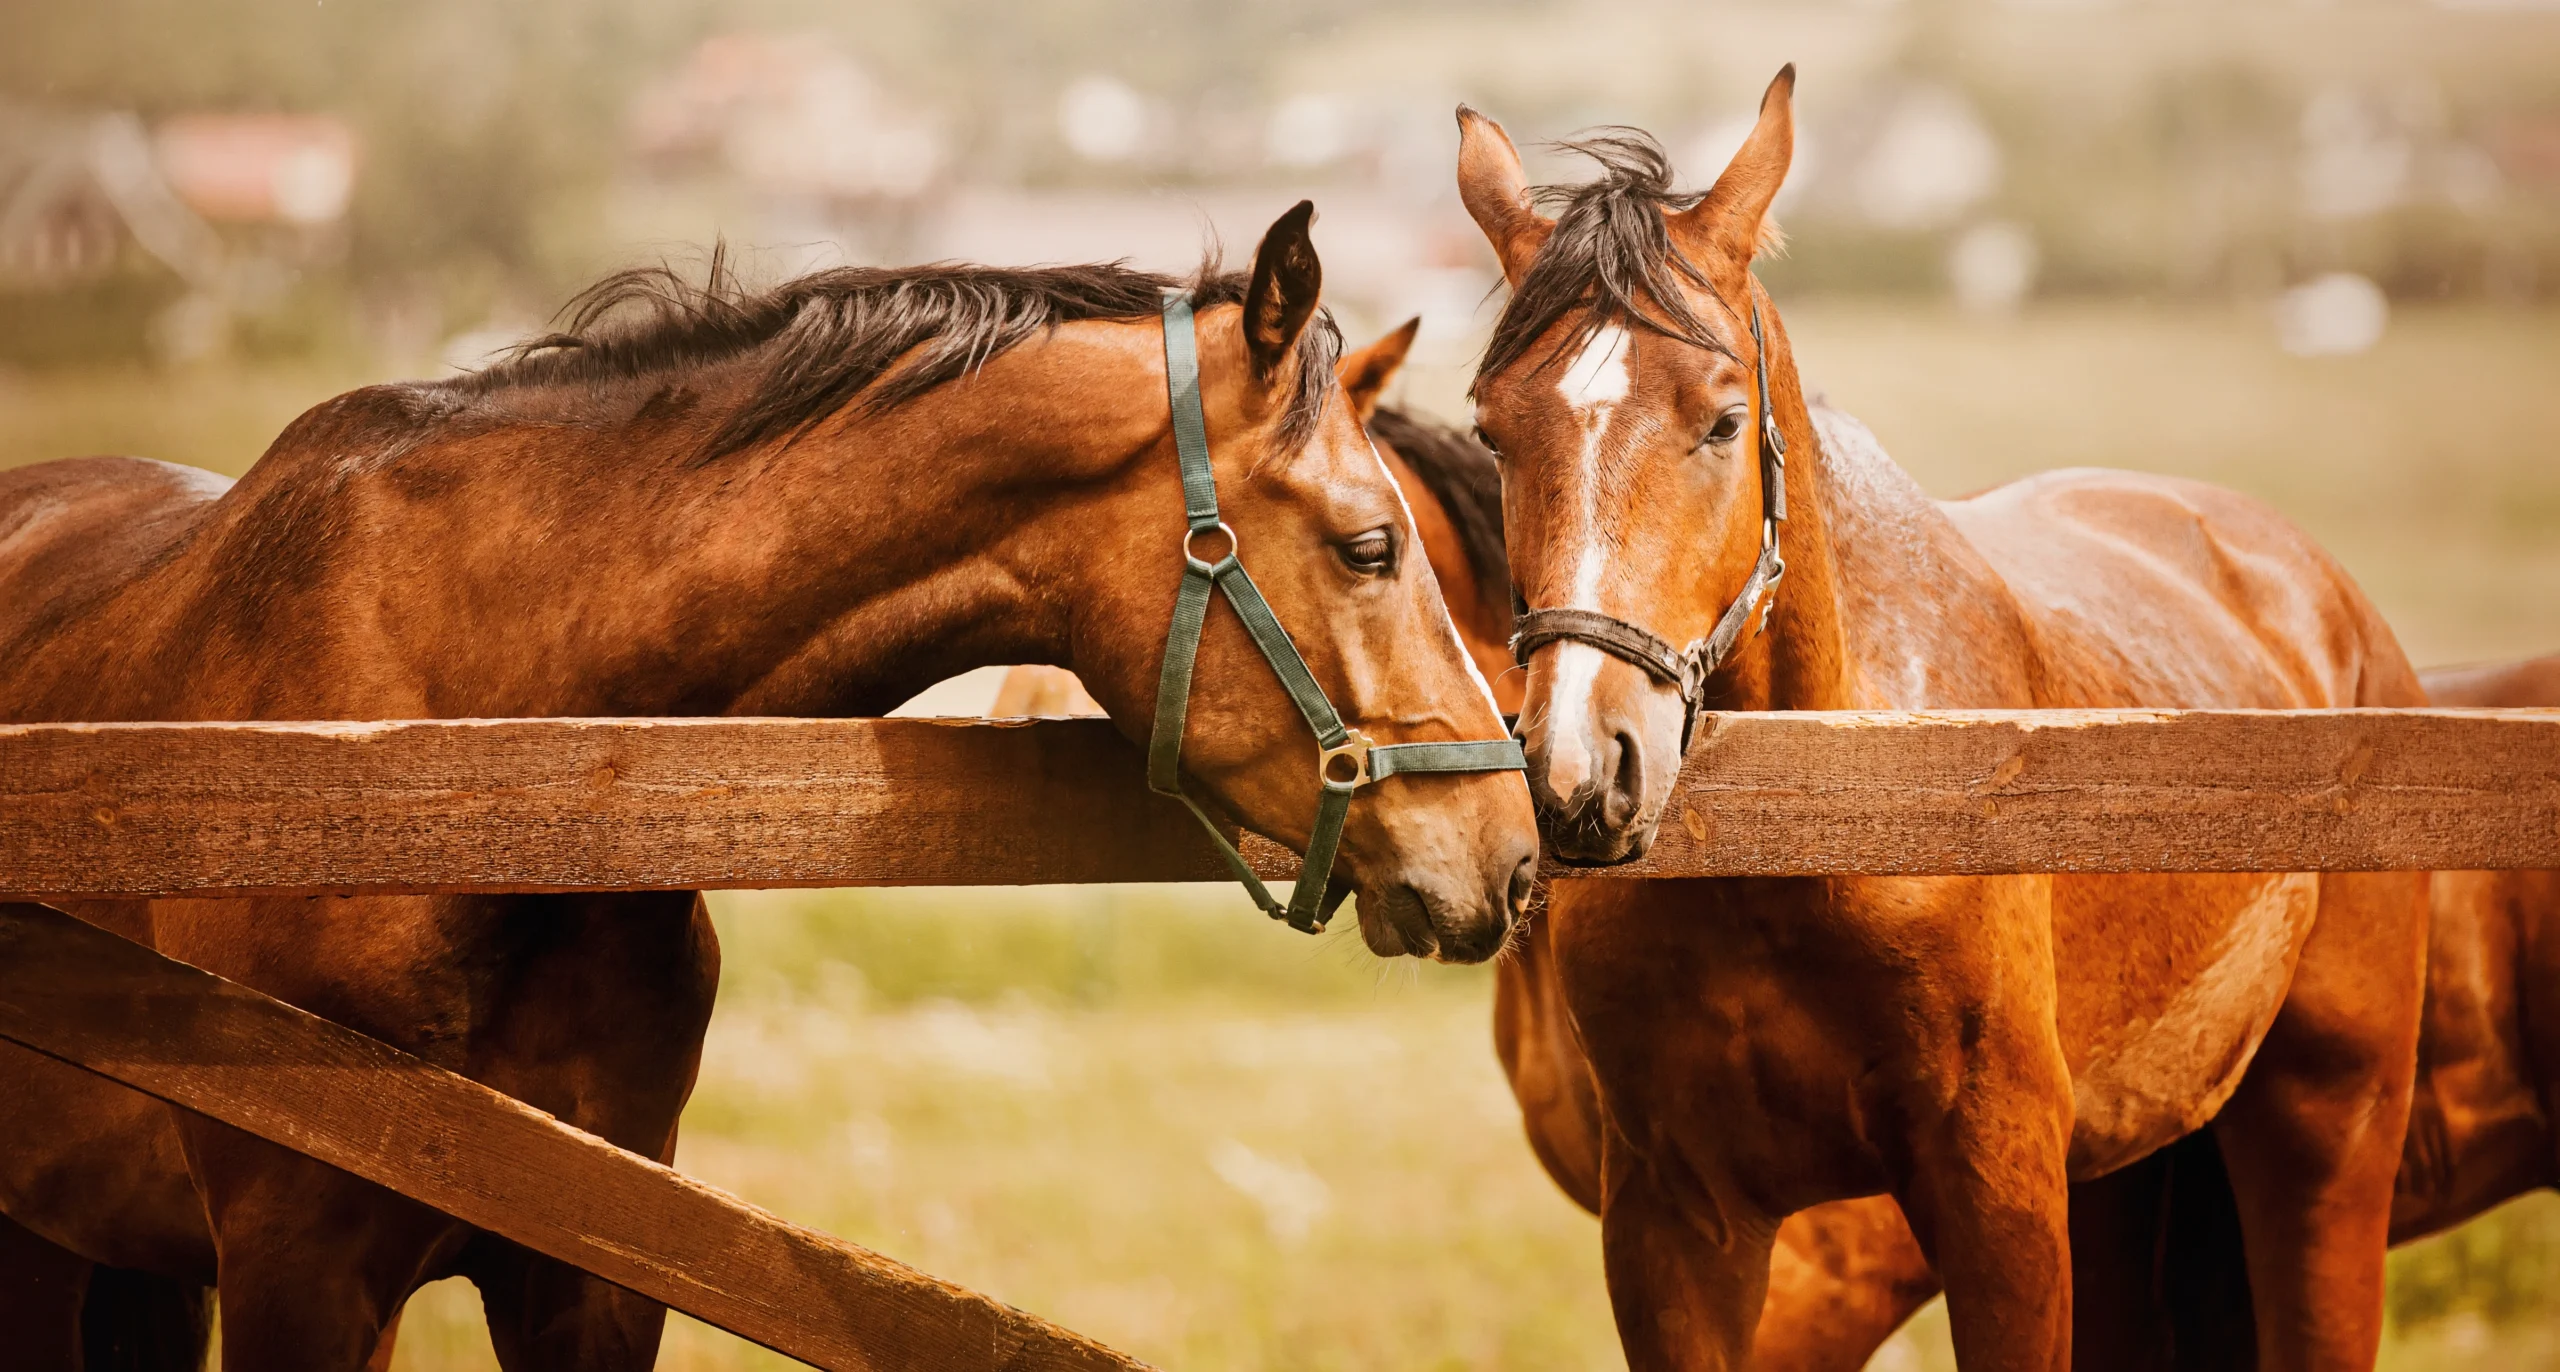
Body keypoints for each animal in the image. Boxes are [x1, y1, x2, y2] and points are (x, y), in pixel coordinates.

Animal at [1458, 68, 2429, 1371]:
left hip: (2329, 1131)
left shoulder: (1994, 1194)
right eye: (1491, 429)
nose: (1577, 769)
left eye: (1720, 421)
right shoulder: (1674, 1222)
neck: (1819, 831)